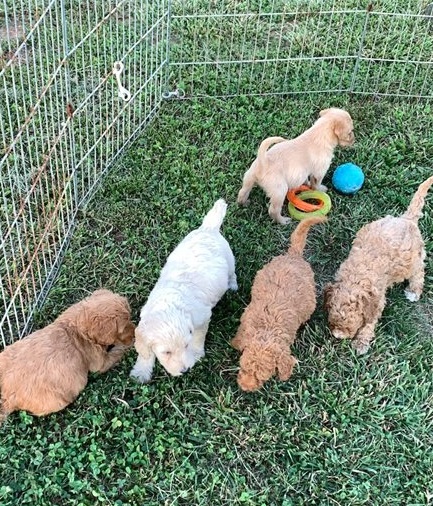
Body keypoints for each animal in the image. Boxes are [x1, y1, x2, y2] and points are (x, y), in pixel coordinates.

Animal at [0, 288, 134, 422]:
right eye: (123, 328)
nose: (134, 332)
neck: (76, 327)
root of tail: (7, 397)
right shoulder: (100, 362)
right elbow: (116, 352)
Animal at [131, 200, 236, 382]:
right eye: (166, 352)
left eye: (186, 345)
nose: (185, 370)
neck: (168, 305)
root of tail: (208, 228)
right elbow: (145, 351)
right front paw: (141, 371)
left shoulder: (202, 318)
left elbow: (198, 337)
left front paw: (196, 353)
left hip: (229, 260)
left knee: (232, 274)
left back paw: (233, 286)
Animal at [324, 176, 432, 354]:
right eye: (333, 319)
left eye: (352, 323)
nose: (338, 336)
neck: (355, 279)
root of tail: (406, 219)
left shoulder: (377, 299)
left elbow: (369, 322)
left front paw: (360, 343)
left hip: (411, 261)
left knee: (419, 271)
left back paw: (414, 291)